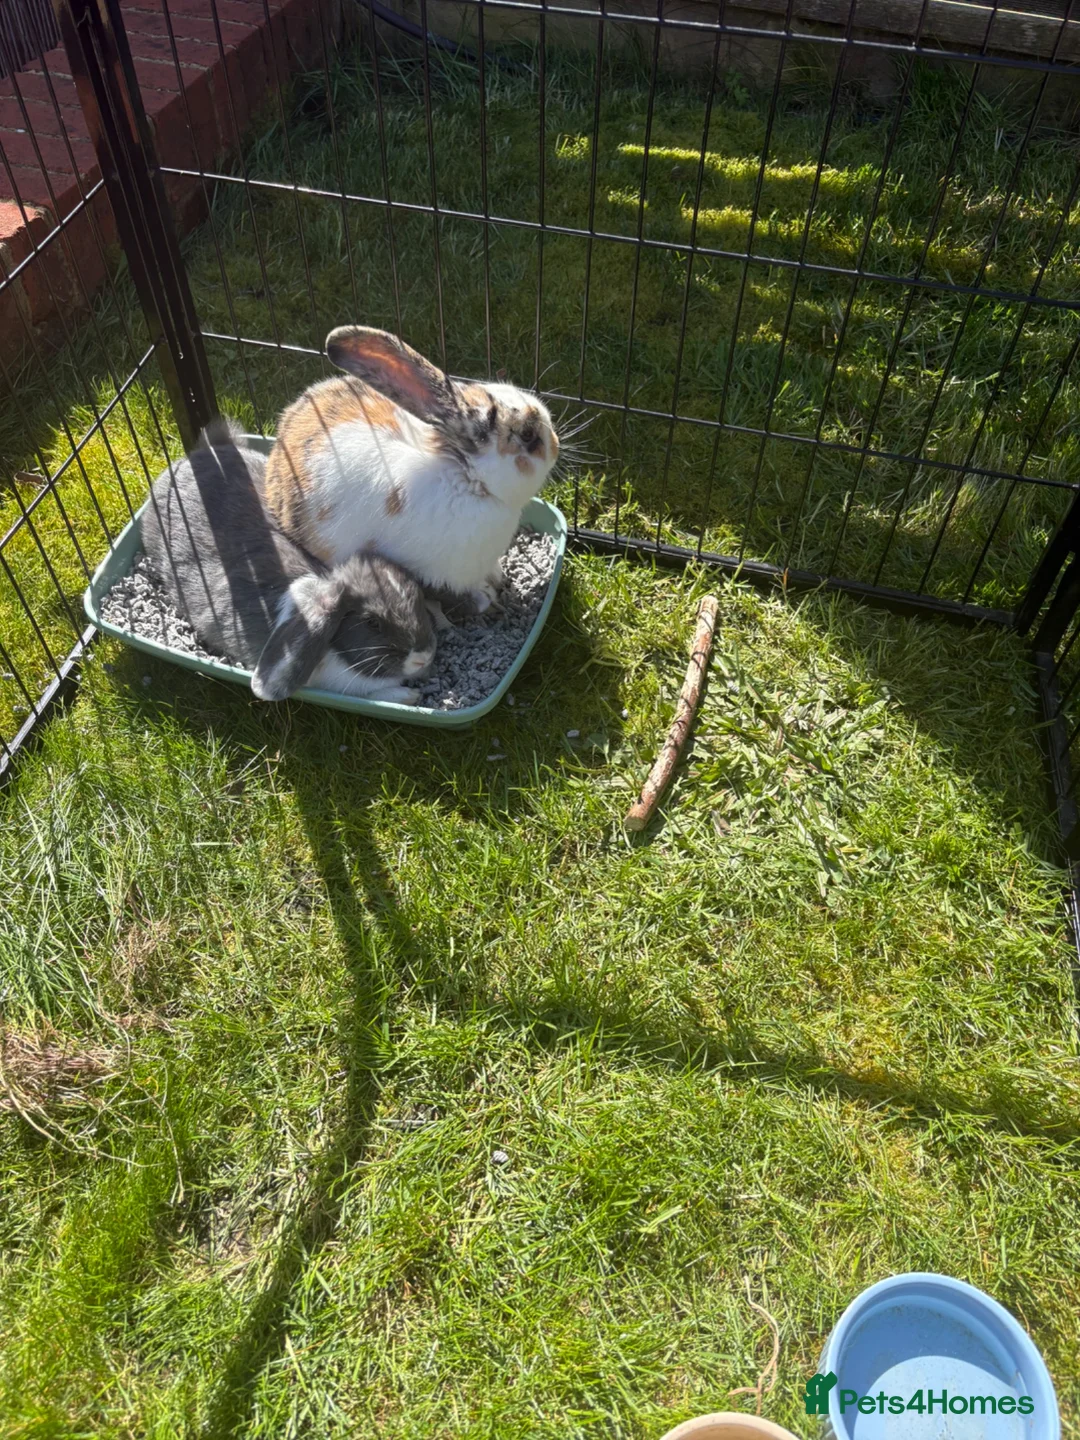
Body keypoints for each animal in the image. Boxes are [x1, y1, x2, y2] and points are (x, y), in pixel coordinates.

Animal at [259, 326, 560, 613]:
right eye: (528, 434)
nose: (556, 444)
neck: (466, 478)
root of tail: (281, 439)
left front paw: (498, 577)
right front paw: (486, 597)